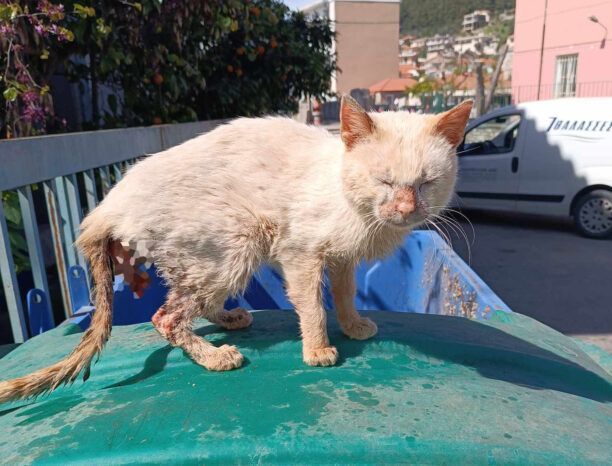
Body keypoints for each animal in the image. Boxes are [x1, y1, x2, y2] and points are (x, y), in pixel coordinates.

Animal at [0, 94, 474, 400]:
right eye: (384, 181)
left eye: (426, 183)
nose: (406, 208)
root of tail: (106, 207)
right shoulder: (299, 252)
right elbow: (312, 304)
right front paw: (318, 350)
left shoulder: (340, 258)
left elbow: (342, 293)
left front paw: (355, 324)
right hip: (239, 237)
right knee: (166, 316)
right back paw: (215, 357)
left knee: (194, 303)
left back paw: (231, 317)